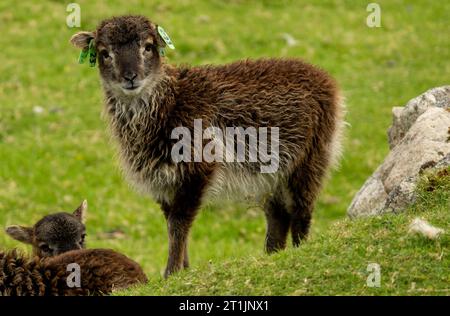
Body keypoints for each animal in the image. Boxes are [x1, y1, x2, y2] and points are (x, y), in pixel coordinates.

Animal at [70, 14, 346, 276]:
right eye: (104, 53)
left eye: (148, 47)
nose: (130, 77)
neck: (170, 104)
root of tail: (325, 79)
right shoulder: (163, 182)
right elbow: (172, 225)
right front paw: (183, 271)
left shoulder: (197, 168)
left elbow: (179, 224)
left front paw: (171, 273)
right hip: (270, 175)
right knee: (278, 217)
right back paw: (271, 255)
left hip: (312, 156)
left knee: (301, 211)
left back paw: (299, 249)